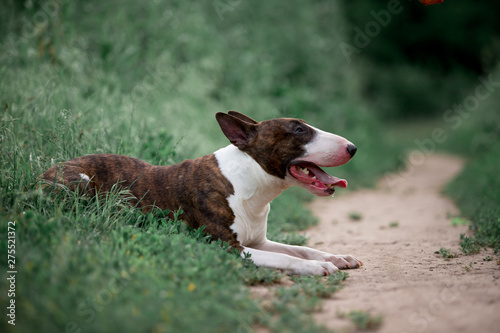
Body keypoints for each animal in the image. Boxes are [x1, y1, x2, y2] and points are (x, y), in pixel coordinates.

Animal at [41, 110, 362, 274]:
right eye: (298, 131)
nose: (352, 148)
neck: (250, 183)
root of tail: (41, 175)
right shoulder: (228, 247)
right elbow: (288, 258)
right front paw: (319, 267)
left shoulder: (259, 241)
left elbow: (299, 248)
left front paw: (336, 257)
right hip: (81, 181)